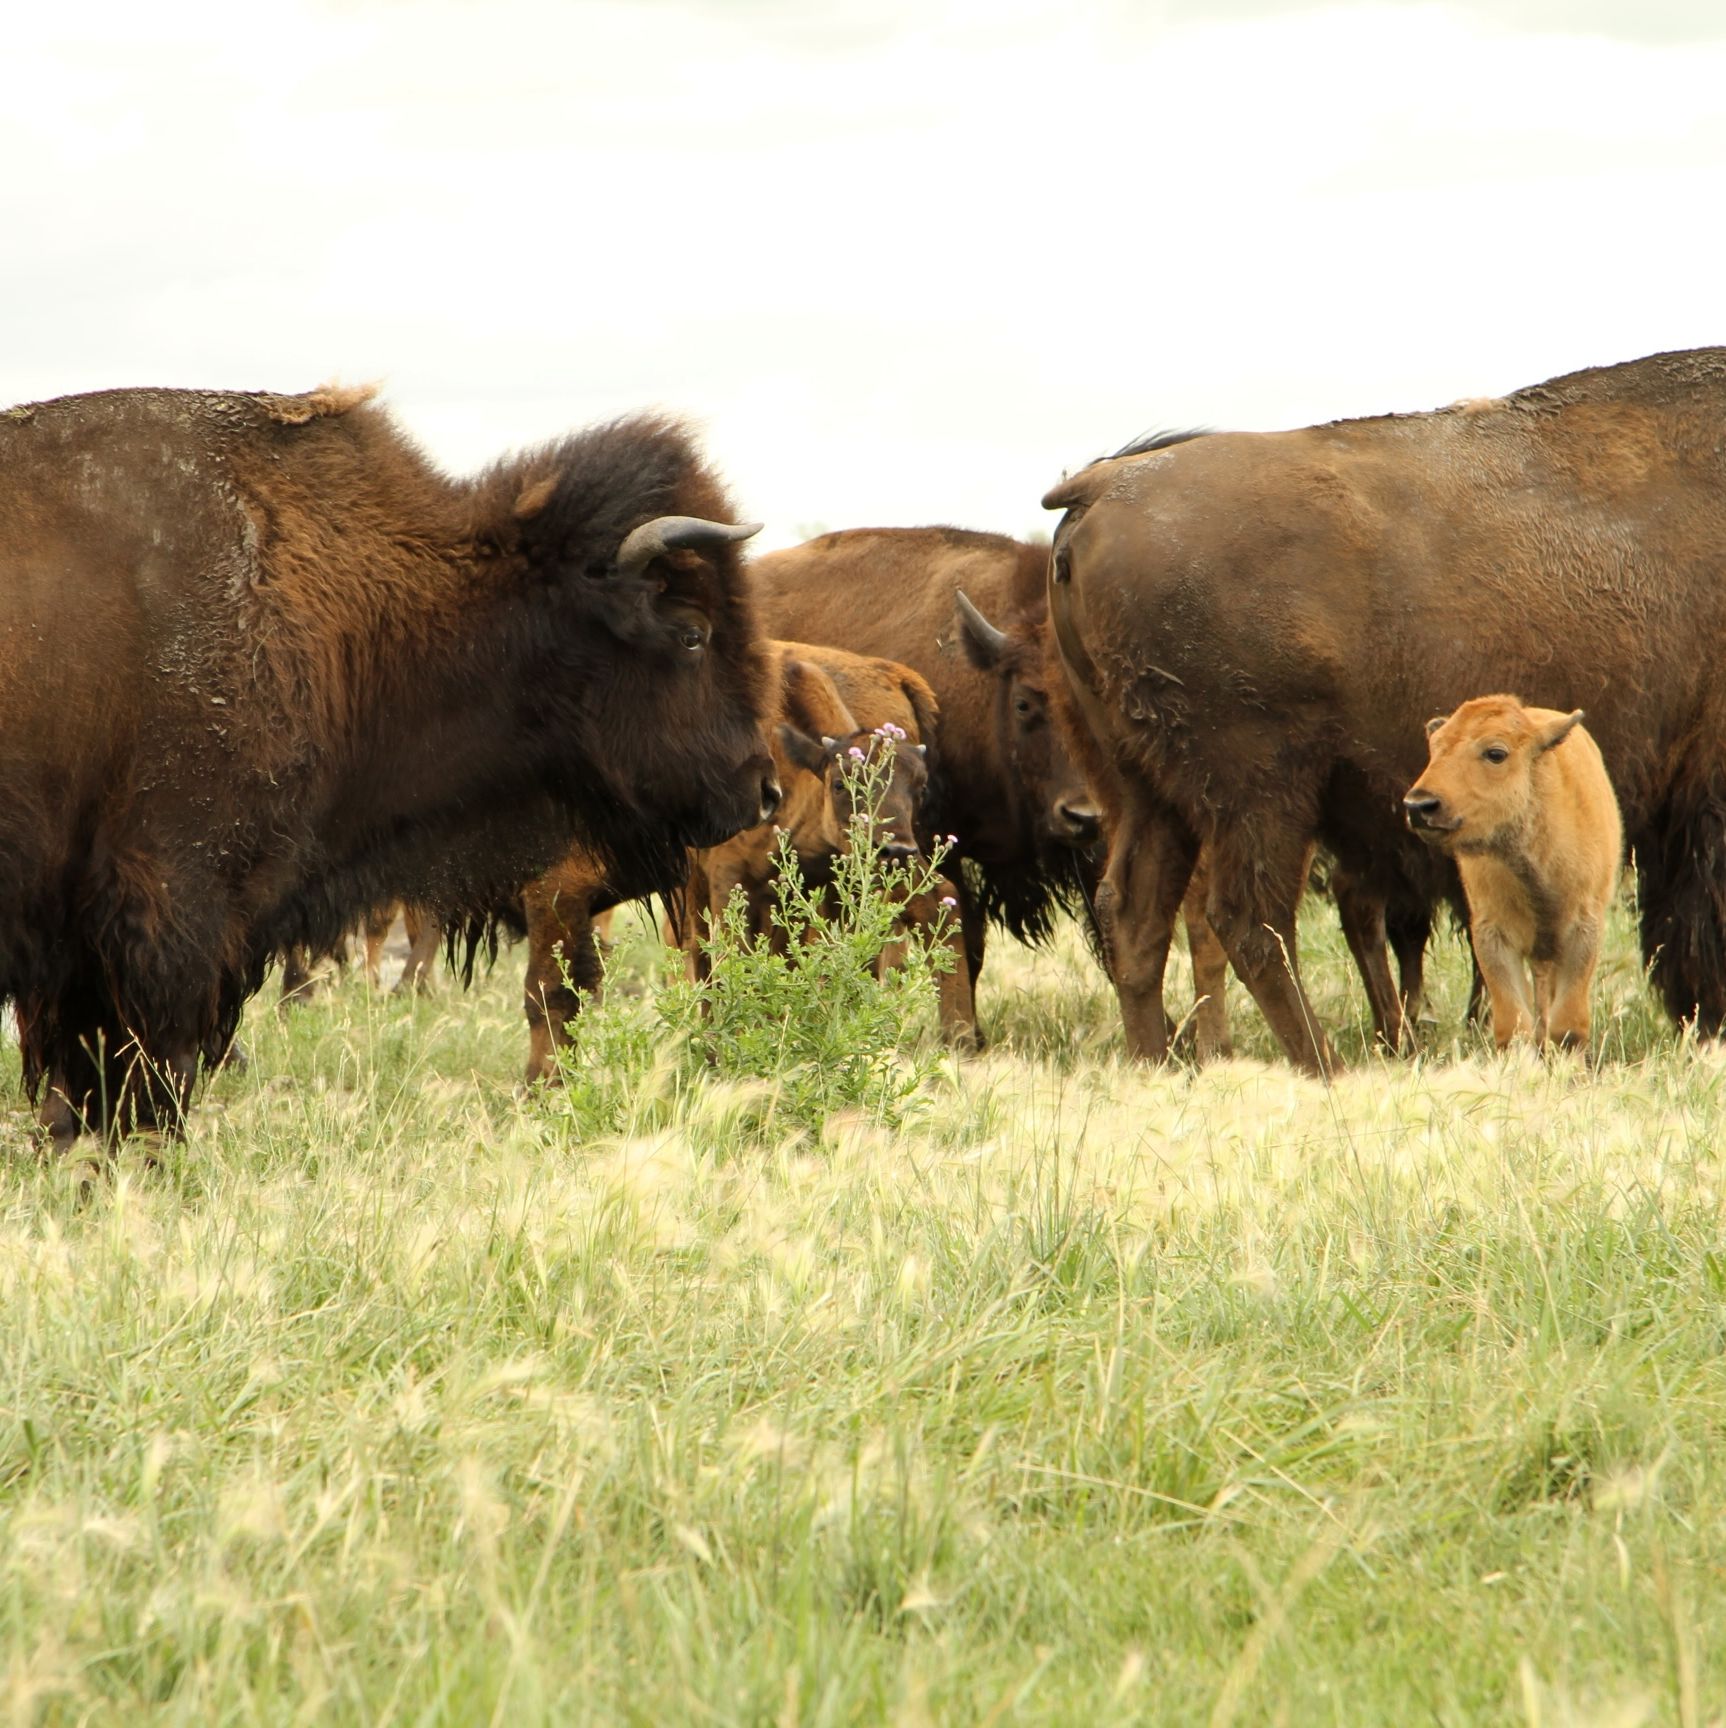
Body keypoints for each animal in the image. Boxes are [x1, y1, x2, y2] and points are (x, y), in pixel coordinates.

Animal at [1402, 691, 1617, 1043]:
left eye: (1495, 753)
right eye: (1435, 747)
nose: (1419, 805)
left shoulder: (1584, 931)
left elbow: (1568, 1025)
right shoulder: (1492, 934)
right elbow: (1513, 1024)